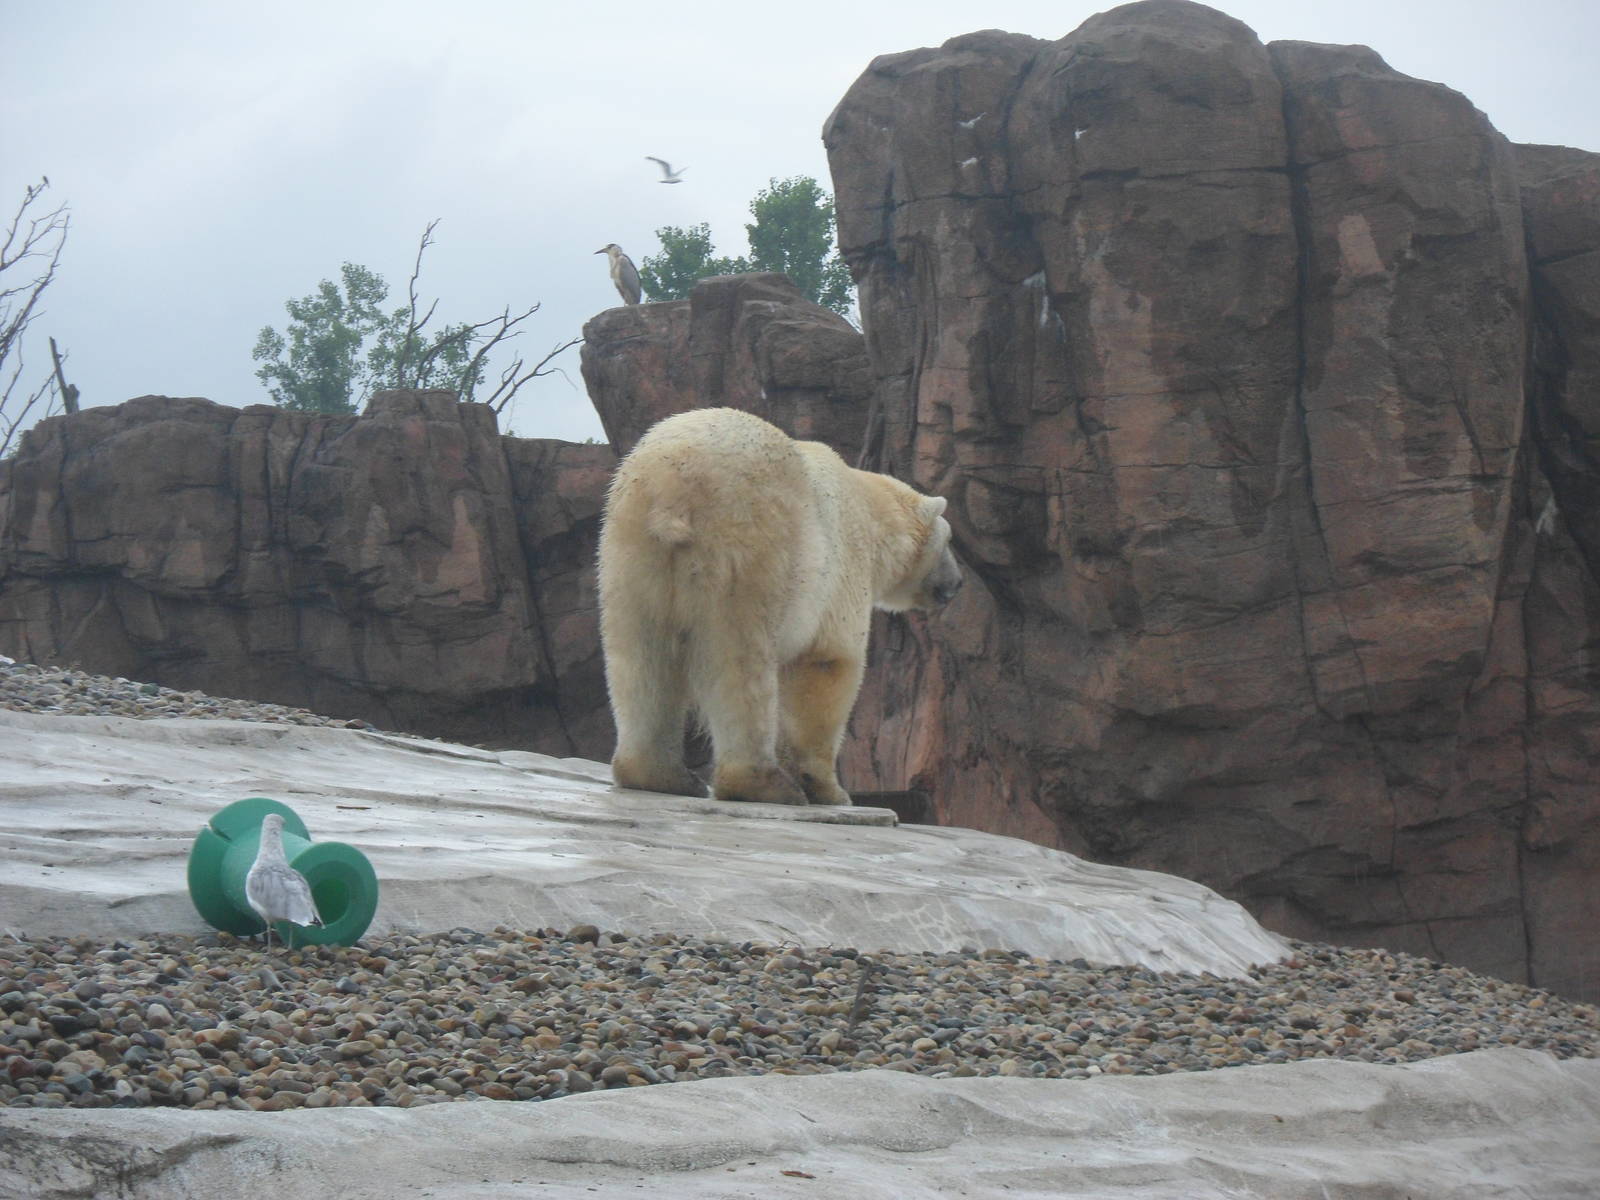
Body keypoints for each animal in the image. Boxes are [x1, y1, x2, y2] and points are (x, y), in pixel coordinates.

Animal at [597, 407, 962, 807]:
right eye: (949, 540)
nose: (958, 583)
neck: (869, 507)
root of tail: (672, 486)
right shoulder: (841, 565)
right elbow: (827, 662)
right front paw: (829, 789)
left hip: (630, 543)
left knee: (639, 657)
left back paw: (660, 774)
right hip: (751, 541)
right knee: (740, 662)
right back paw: (763, 783)